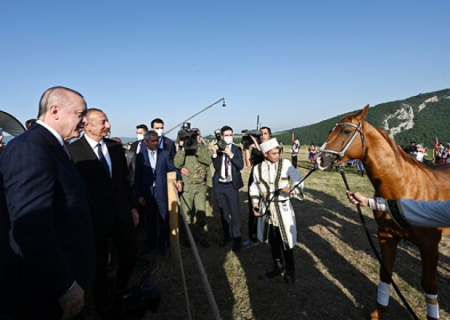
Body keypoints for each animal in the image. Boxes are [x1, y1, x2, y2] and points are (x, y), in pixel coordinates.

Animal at [316, 105, 450, 320]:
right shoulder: (386, 235)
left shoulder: (429, 245)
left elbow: (429, 285)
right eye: (330, 130)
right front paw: (380, 311)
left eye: (346, 131)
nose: (320, 159)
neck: (404, 188)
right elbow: (385, 272)